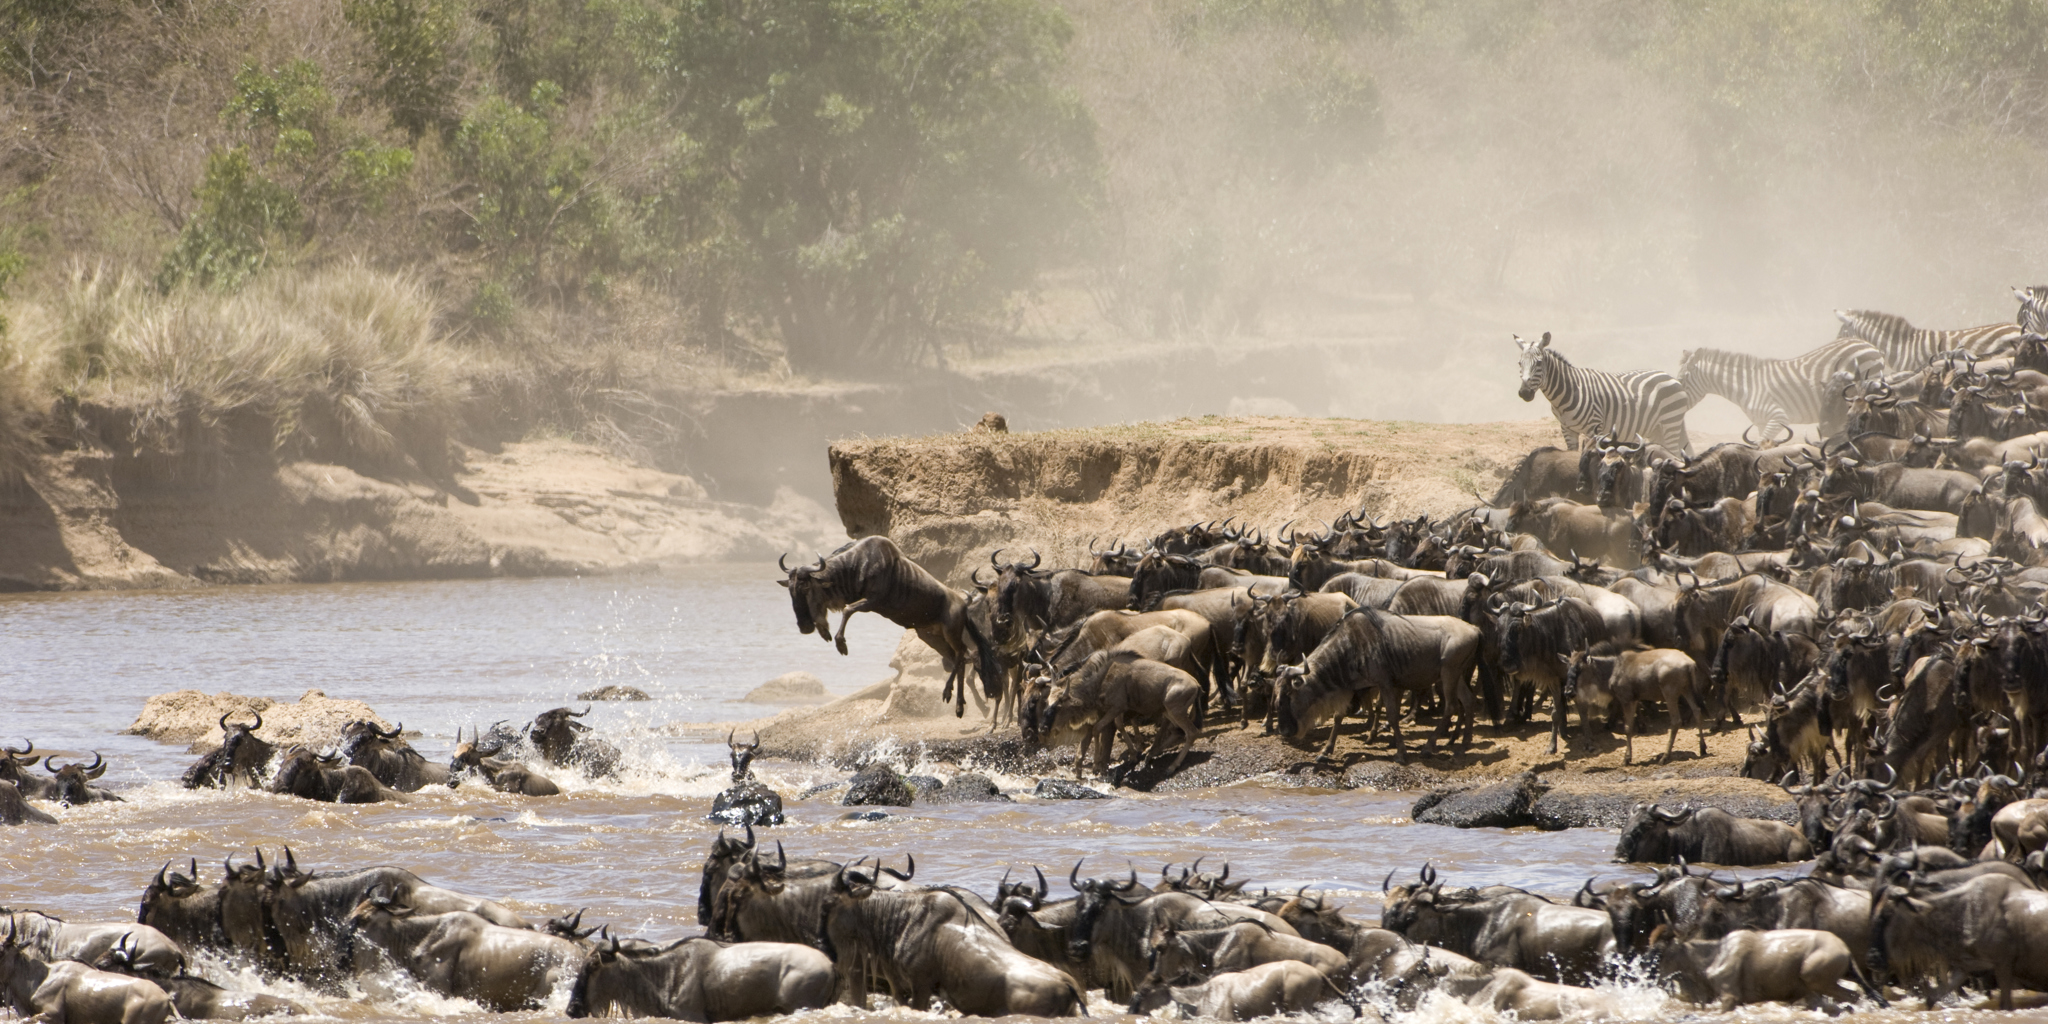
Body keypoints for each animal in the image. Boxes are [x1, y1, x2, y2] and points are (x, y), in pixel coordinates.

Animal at [1507, 331, 1695, 452]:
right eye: (1519, 363)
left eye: (1538, 363)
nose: (1524, 393)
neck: (1568, 391)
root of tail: (1670, 377)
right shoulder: (1567, 430)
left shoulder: (1594, 428)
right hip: (1657, 428)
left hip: (1670, 423)